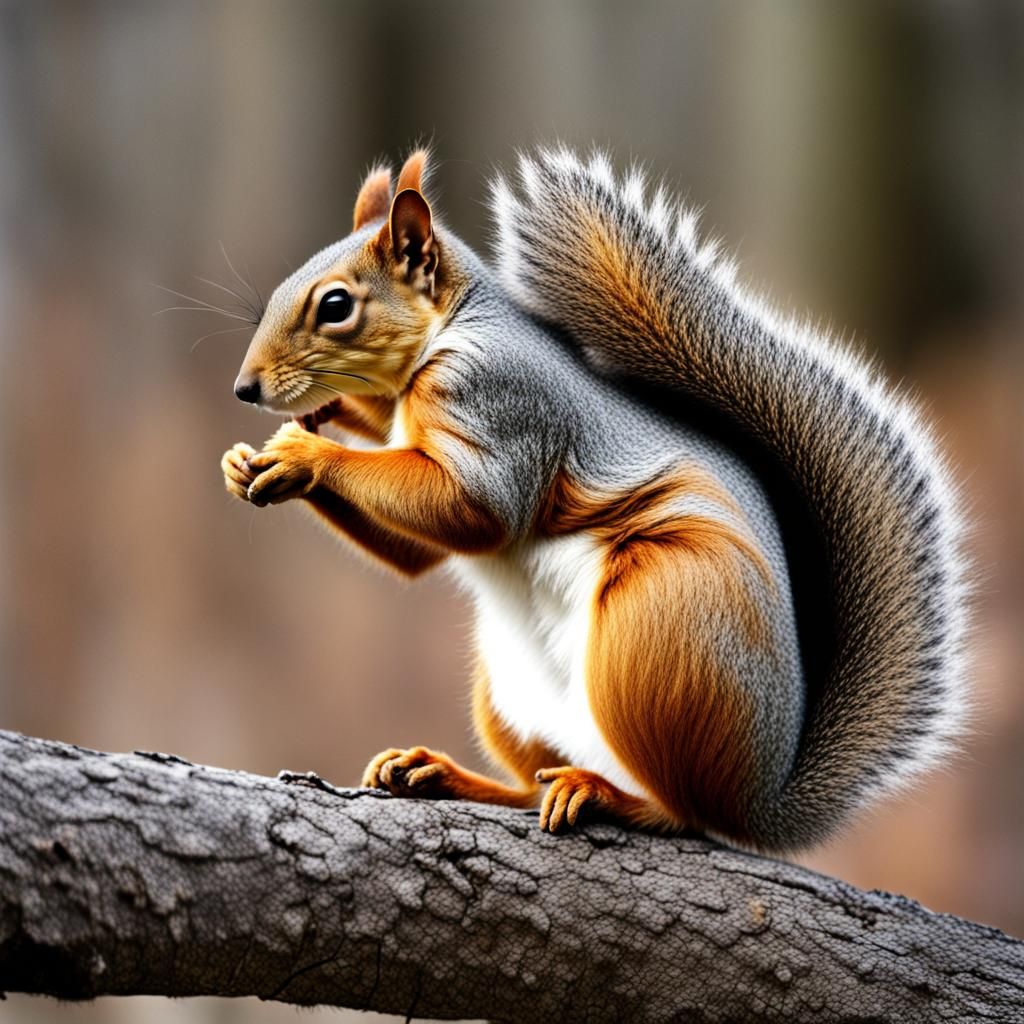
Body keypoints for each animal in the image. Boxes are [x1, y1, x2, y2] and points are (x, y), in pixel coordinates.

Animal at [220, 147, 969, 852]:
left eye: (336, 306)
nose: (245, 388)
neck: (446, 334)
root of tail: (756, 798)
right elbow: (415, 555)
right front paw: (255, 457)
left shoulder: (498, 407)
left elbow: (471, 509)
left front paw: (307, 453)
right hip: (510, 696)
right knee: (531, 787)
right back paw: (441, 774)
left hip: (660, 632)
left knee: (683, 813)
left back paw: (608, 796)